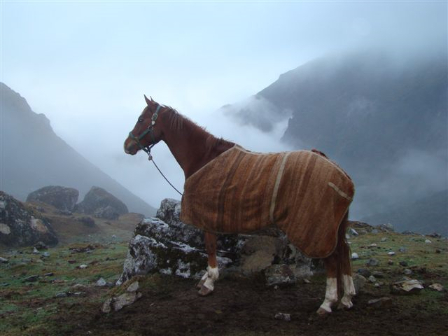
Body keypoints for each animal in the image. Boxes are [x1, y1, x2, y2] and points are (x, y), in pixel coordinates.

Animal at [124, 95, 356, 316]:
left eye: (141, 119)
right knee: (343, 251)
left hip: (317, 227)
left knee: (332, 258)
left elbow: (210, 248)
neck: (203, 157)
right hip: (335, 225)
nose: (127, 145)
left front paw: (209, 282)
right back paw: (346, 298)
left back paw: (328, 302)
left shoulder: (207, 217)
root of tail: (336, 169)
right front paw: (205, 279)